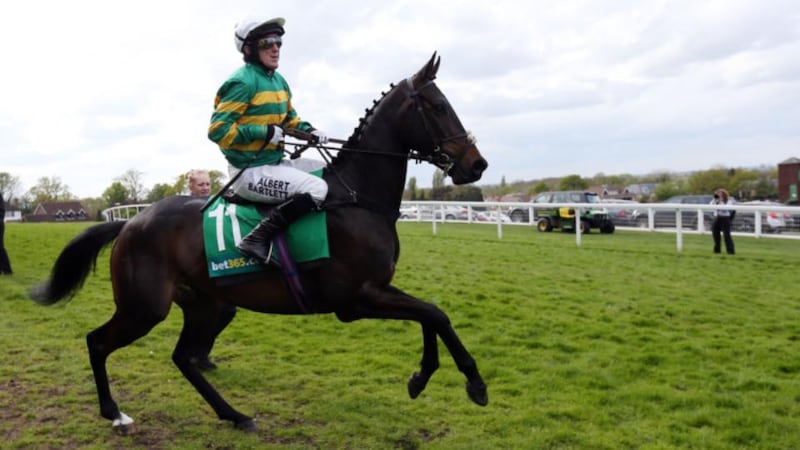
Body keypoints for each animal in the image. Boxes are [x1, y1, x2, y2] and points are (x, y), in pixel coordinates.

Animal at [31, 54, 490, 434]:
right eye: (438, 106)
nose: (477, 164)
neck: (357, 199)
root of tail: (131, 223)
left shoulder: (378, 291)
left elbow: (431, 315)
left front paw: (422, 377)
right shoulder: (357, 299)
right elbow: (434, 314)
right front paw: (473, 382)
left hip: (203, 303)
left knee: (184, 358)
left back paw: (234, 415)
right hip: (144, 307)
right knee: (98, 342)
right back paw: (115, 413)